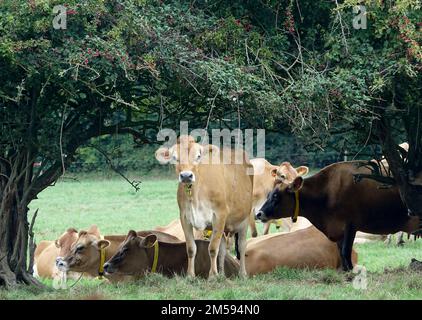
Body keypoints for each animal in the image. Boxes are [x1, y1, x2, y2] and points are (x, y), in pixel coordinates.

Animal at [256, 161, 420, 272]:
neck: (326, 193)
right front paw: (344, 270)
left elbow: (345, 251)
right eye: (269, 195)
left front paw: (350, 271)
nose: (258, 213)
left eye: (276, 196)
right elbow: (341, 251)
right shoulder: (338, 230)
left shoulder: (350, 225)